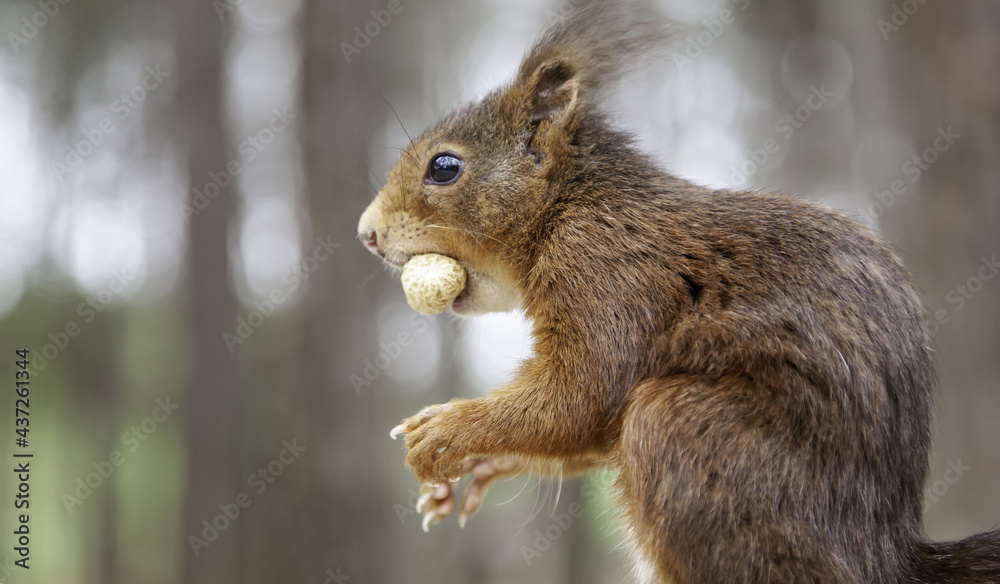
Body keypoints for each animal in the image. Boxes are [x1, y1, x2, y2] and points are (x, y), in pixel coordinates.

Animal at [357, 5, 1000, 584]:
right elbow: (582, 429)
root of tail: (882, 556)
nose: (366, 234)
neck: (570, 207)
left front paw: (445, 430)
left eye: (444, 167)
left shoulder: (607, 275)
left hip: (686, 433)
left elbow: (578, 395)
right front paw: (475, 468)